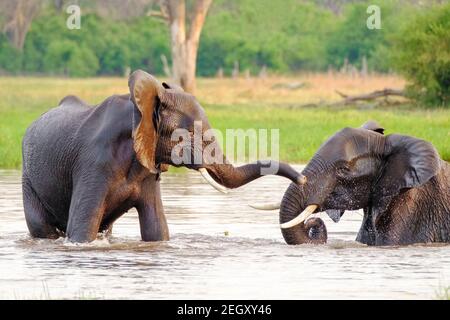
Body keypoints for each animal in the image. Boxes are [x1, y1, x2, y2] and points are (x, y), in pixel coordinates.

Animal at [21, 70, 306, 242]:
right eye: (190, 133)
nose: (303, 180)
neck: (142, 109)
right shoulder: (94, 163)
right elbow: (81, 228)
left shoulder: (147, 165)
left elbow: (157, 228)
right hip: (28, 178)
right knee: (42, 227)